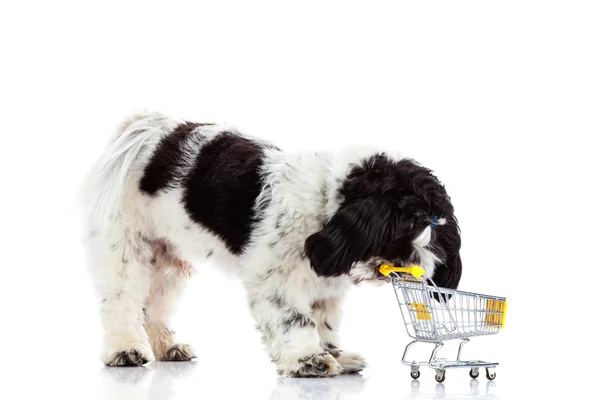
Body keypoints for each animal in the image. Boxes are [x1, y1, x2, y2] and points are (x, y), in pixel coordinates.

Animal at [81, 111, 464, 376]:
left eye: (438, 232)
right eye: (408, 225)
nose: (419, 267)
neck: (325, 207)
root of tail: (143, 127)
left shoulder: (324, 288)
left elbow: (324, 323)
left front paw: (335, 355)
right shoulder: (275, 283)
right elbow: (295, 320)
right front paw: (308, 359)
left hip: (169, 262)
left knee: (155, 308)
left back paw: (167, 346)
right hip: (126, 251)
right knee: (121, 302)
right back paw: (125, 350)